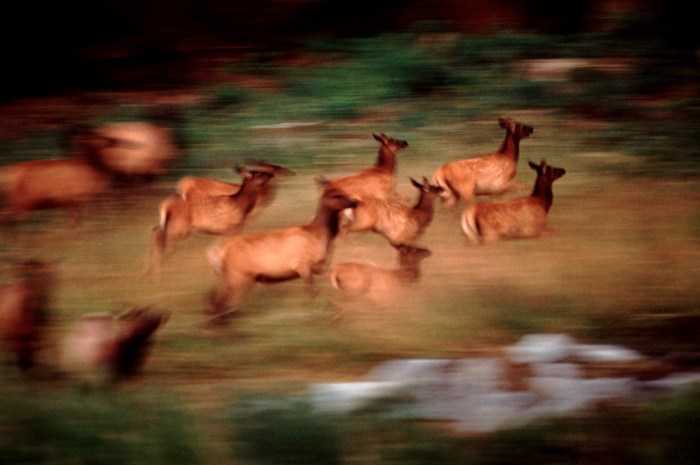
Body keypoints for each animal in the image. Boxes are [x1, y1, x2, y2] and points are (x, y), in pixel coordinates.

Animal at [205, 188, 358, 322]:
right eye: (336, 195)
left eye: (343, 191)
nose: (355, 201)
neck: (321, 237)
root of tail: (219, 253)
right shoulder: (302, 265)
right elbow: (311, 293)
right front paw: (306, 313)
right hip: (236, 275)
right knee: (219, 301)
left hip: (237, 277)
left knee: (219, 300)